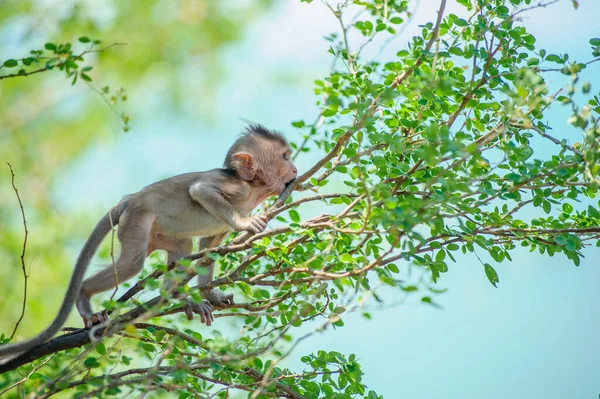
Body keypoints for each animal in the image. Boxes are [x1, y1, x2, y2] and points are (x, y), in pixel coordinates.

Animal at [0, 123, 298, 358]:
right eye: (284, 157)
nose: (295, 169)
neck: (254, 190)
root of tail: (129, 199)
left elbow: (208, 248)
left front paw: (209, 293)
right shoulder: (235, 188)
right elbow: (200, 190)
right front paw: (246, 224)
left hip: (160, 234)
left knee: (183, 249)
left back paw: (180, 296)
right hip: (137, 220)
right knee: (132, 263)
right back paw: (85, 296)